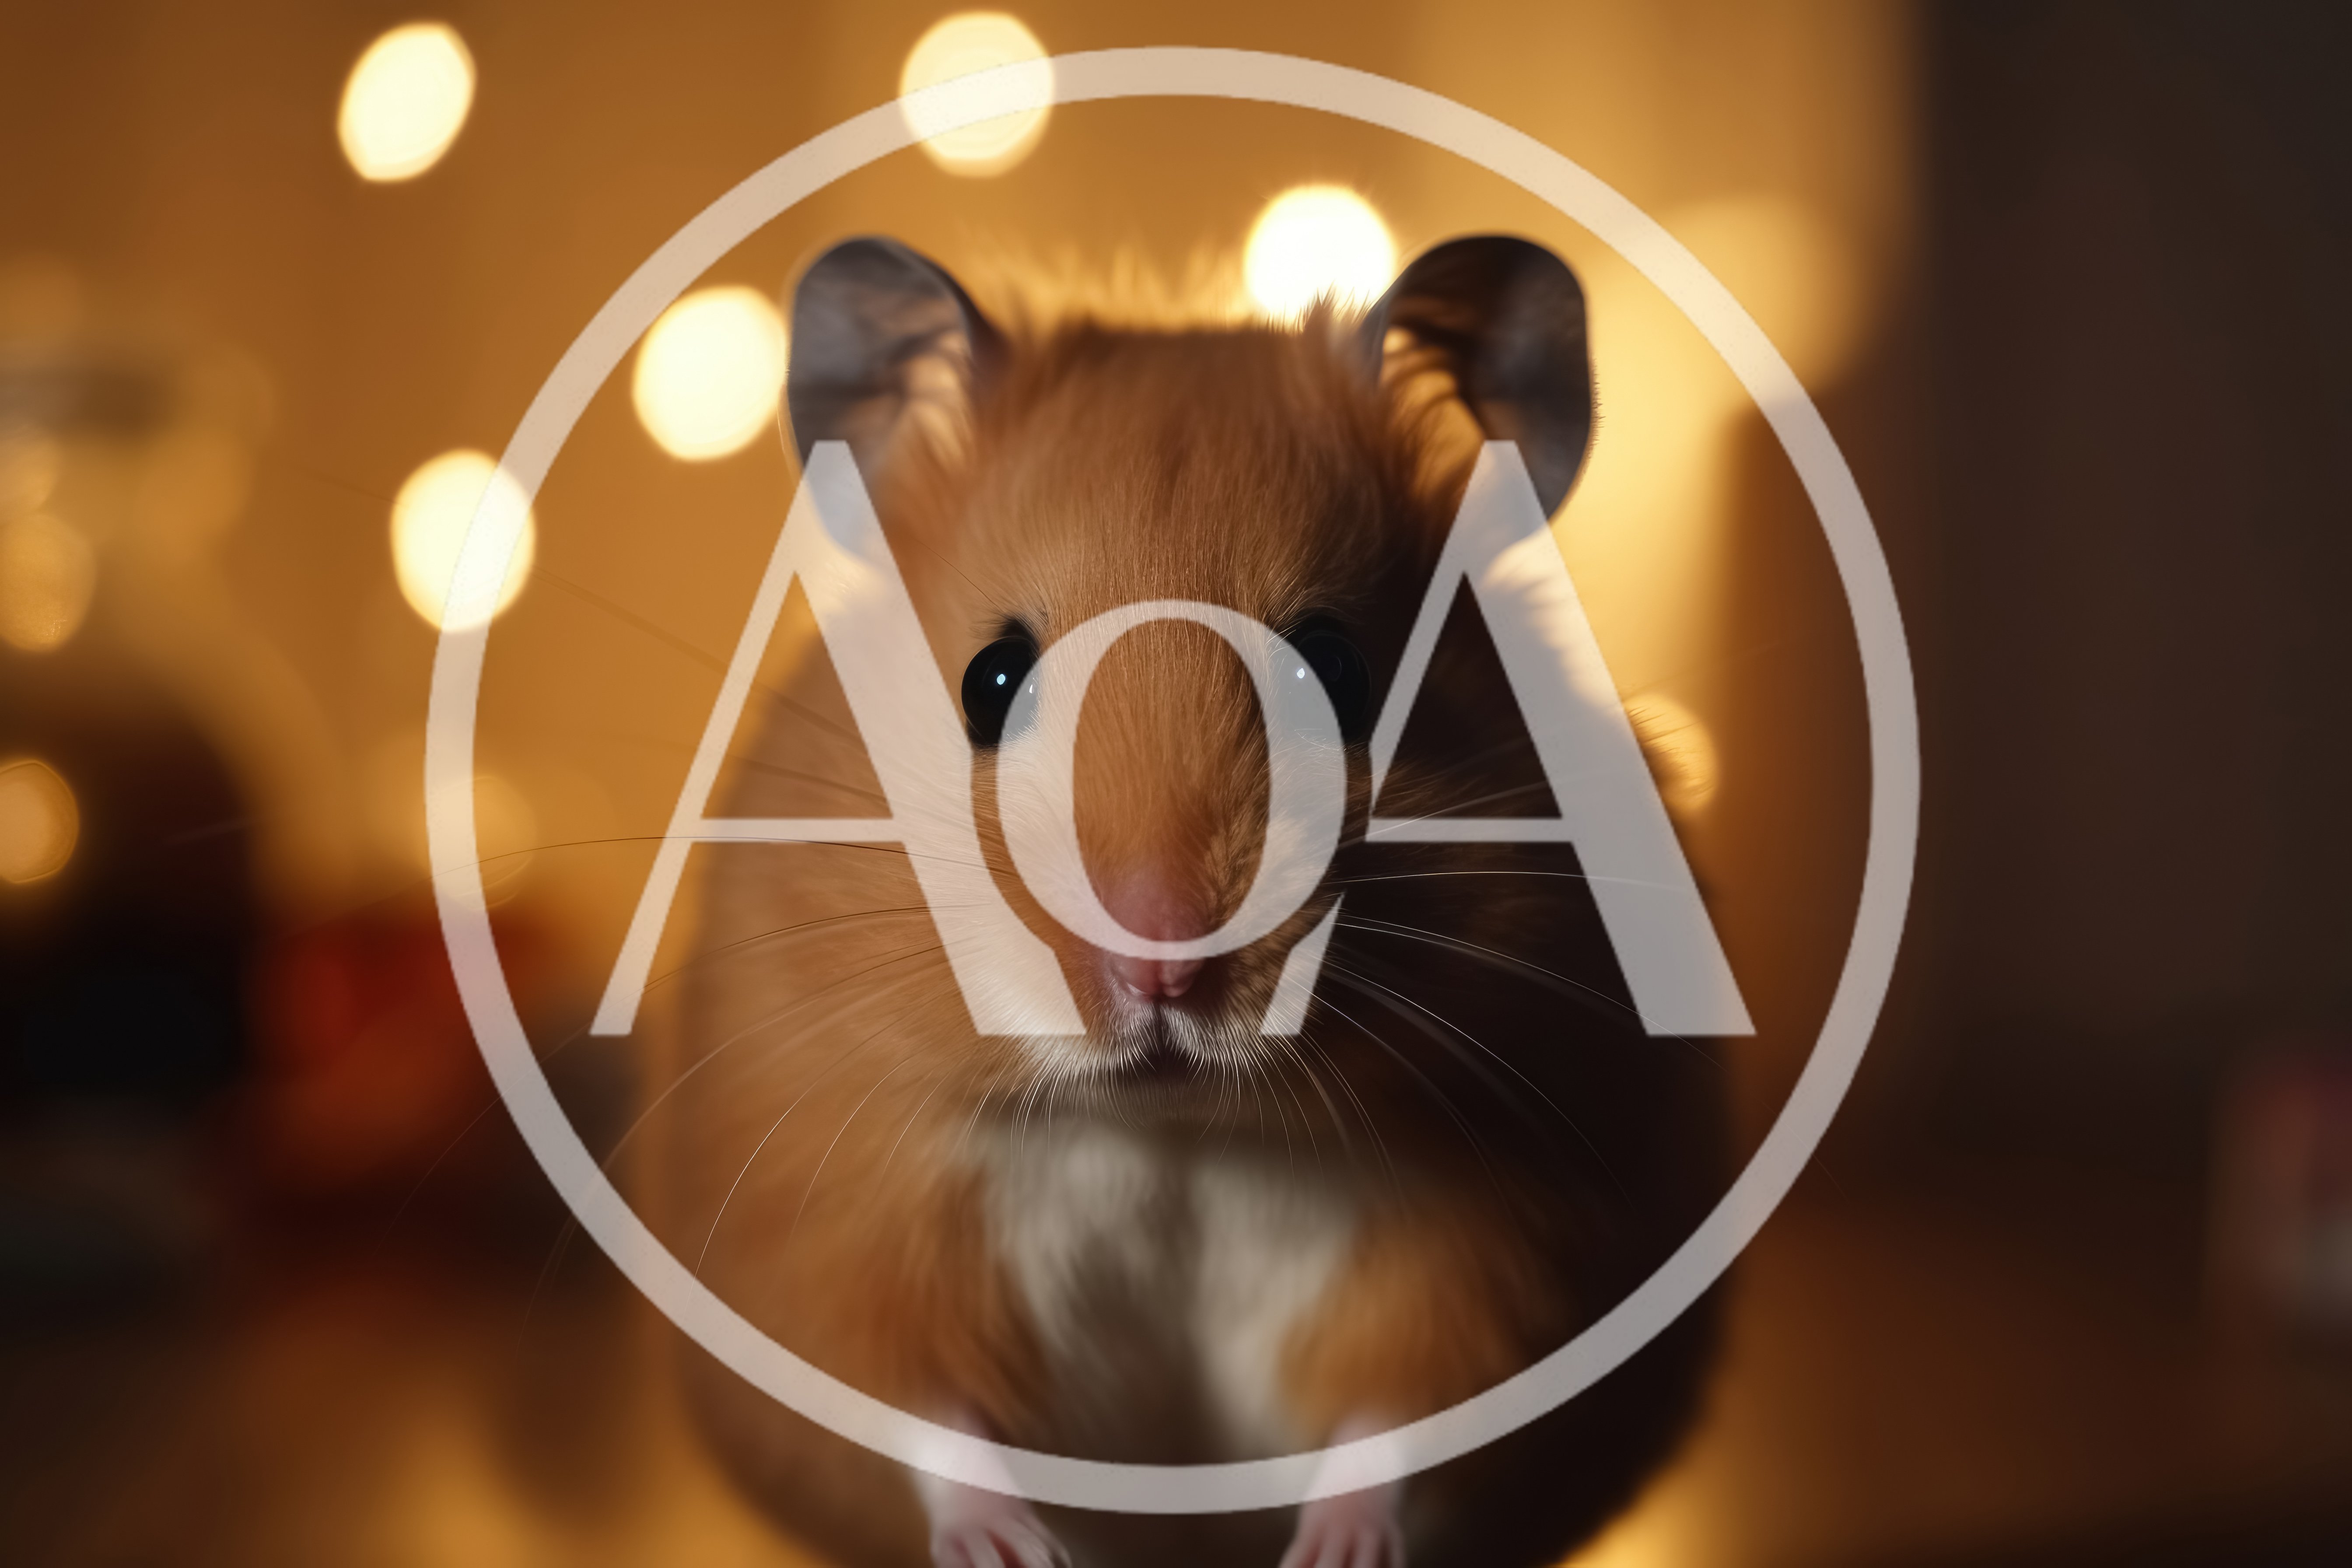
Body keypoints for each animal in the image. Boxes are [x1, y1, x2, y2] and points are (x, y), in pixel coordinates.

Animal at [663, 234, 1726, 1568]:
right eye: (992, 680)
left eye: (1337, 672)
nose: (1161, 967)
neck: (1177, 1130)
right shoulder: (851, 1243)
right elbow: (935, 1425)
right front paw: (1019, 1555)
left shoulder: (1495, 1272)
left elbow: (1394, 1430)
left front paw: (1332, 1557)